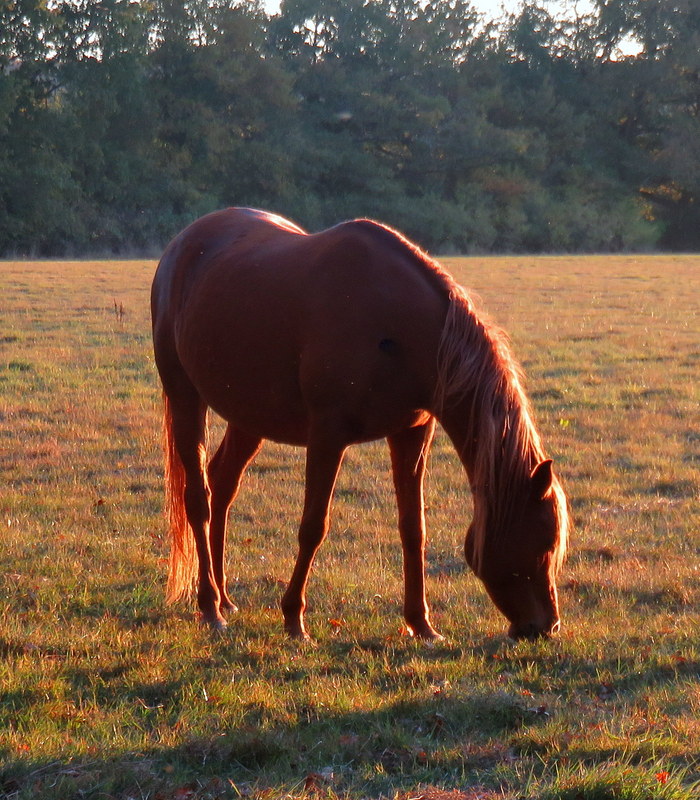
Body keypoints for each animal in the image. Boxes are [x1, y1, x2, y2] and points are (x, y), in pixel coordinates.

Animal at [152, 209, 568, 640]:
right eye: (544, 543)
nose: (547, 626)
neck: (398, 326)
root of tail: (182, 244)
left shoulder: (411, 433)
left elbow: (413, 527)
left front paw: (421, 624)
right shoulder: (327, 436)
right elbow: (313, 526)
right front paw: (293, 618)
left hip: (249, 416)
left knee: (222, 485)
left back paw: (225, 597)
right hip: (185, 396)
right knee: (198, 498)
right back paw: (209, 606)